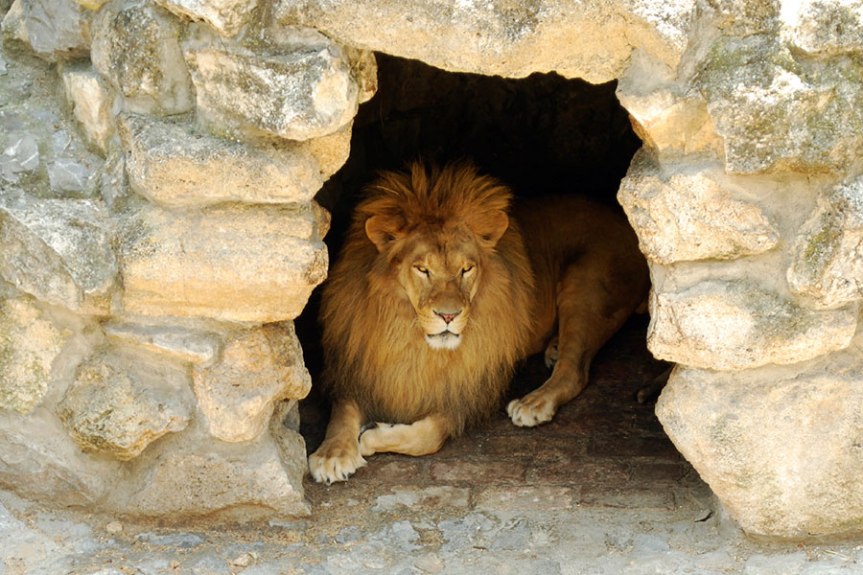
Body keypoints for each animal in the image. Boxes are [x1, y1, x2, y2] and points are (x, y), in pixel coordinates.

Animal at [308, 161, 649, 484]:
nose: (448, 316)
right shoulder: (358, 368)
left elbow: (427, 436)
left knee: (574, 370)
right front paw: (332, 454)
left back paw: (534, 402)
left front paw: (371, 437)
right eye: (422, 269)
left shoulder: (463, 393)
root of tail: (626, 224)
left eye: (466, 269)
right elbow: (342, 412)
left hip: (585, 282)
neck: (411, 339)